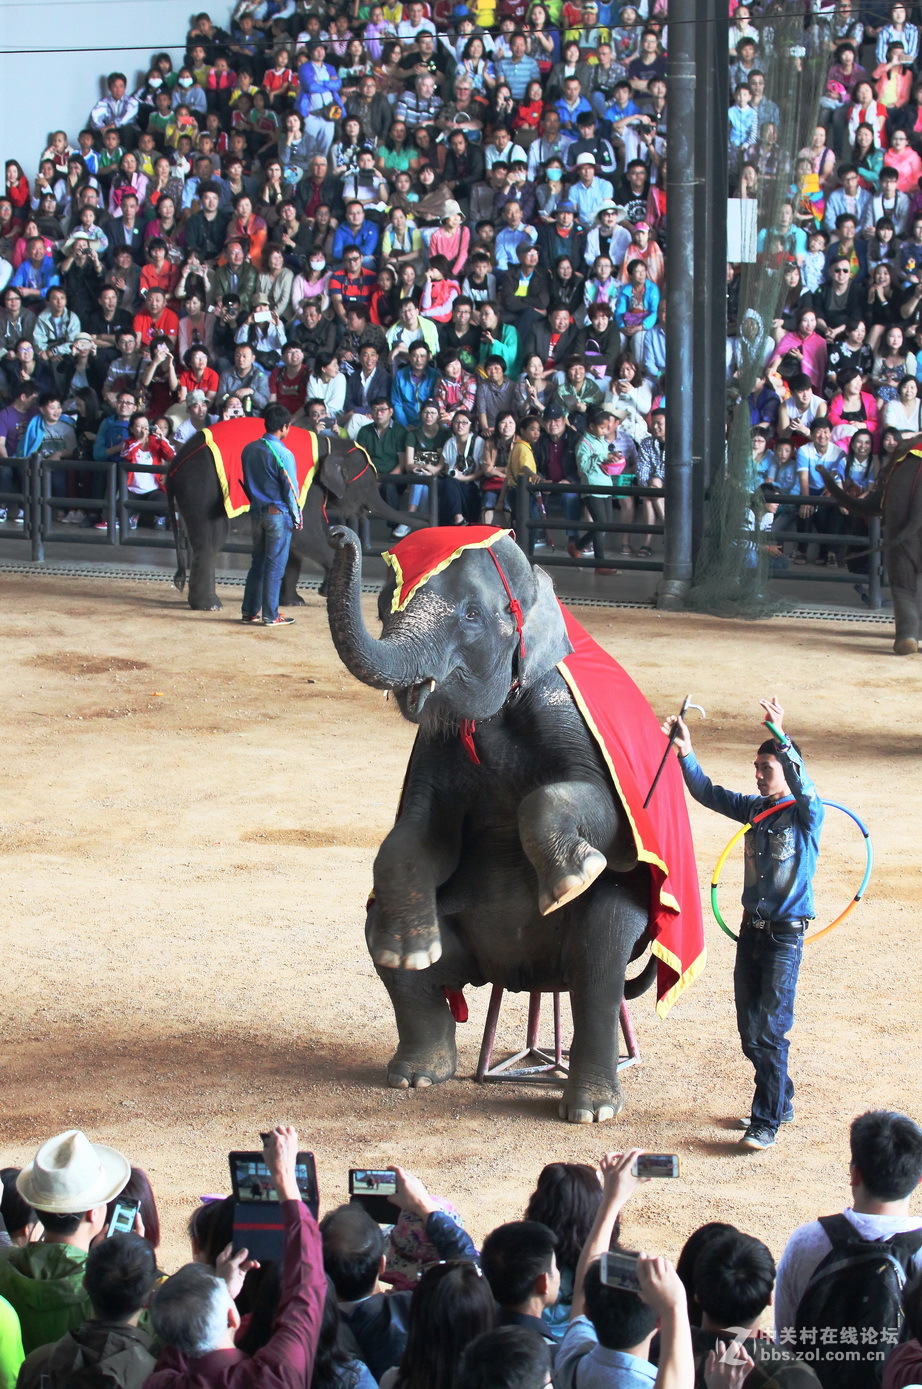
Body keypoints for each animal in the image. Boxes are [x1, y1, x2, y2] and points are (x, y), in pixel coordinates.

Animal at [165, 425, 424, 611]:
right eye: (370, 484)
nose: (426, 525)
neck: (331, 444)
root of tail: (176, 462)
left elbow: (293, 541)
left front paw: (294, 602)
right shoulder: (302, 485)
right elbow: (306, 534)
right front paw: (326, 591)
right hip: (203, 488)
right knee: (211, 540)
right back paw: (210, 606)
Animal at [327, 525, 702, 1122]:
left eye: (472, 614)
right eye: (385, 605)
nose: (338, 531)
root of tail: (527, 979)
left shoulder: (569, 715)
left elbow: (610, 821)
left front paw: (573, 878)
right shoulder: (434, 745)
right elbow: (418, 834)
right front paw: (410, 949)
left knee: (600, 963)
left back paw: (590, 1109)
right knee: (389, 949)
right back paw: (417, 1072)